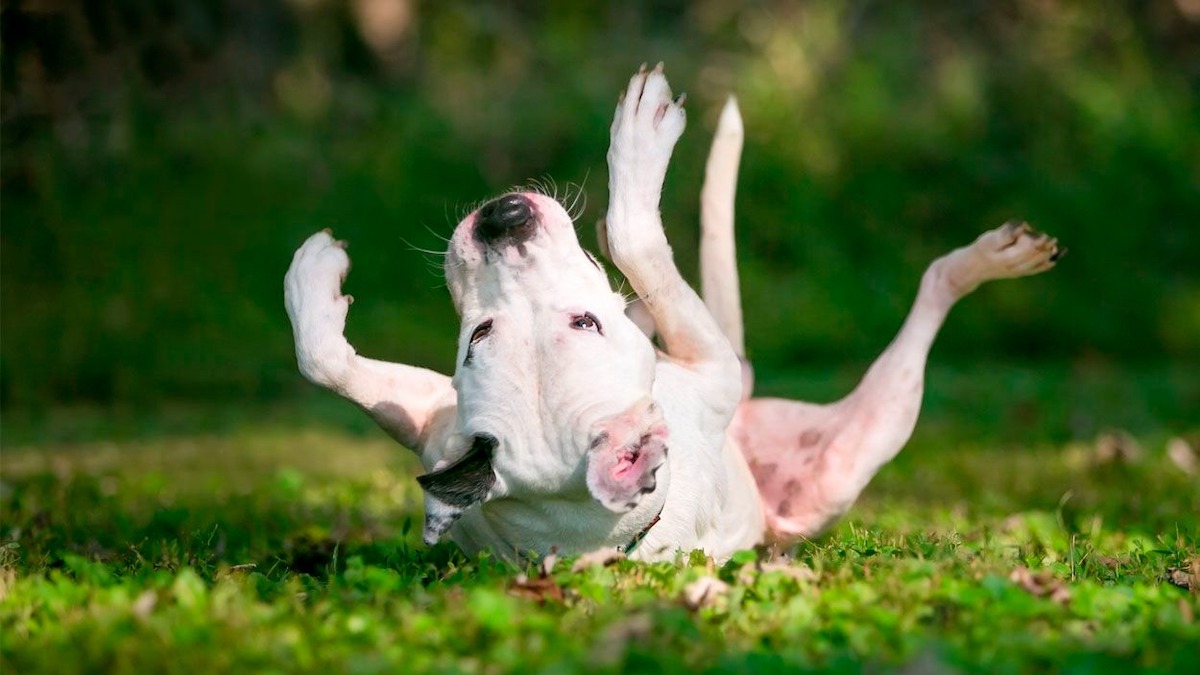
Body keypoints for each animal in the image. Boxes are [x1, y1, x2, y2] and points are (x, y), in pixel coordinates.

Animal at [285, 64, 1065, 557]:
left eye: (478, 336)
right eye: (586, 324)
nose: (503, 218)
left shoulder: (434, 426)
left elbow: (327, 363)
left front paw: (310, 280)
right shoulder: (709, 362)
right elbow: (638, 236)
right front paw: (639, 145)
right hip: (861, 442)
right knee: (932, 293)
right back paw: (992, 258)